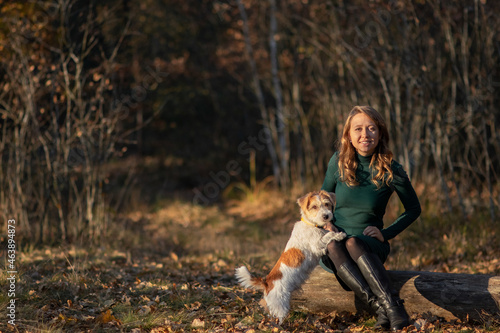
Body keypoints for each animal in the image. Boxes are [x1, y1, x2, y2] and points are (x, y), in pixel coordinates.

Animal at [233, 191, 344, 322]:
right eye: (314, 207)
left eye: (327, 204)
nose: (326, 216)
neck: (312, 225)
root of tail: (267, 283)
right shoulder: (317, 245)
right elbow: (328, 235)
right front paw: (339, 235)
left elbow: (327, 233)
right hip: (280, 305)